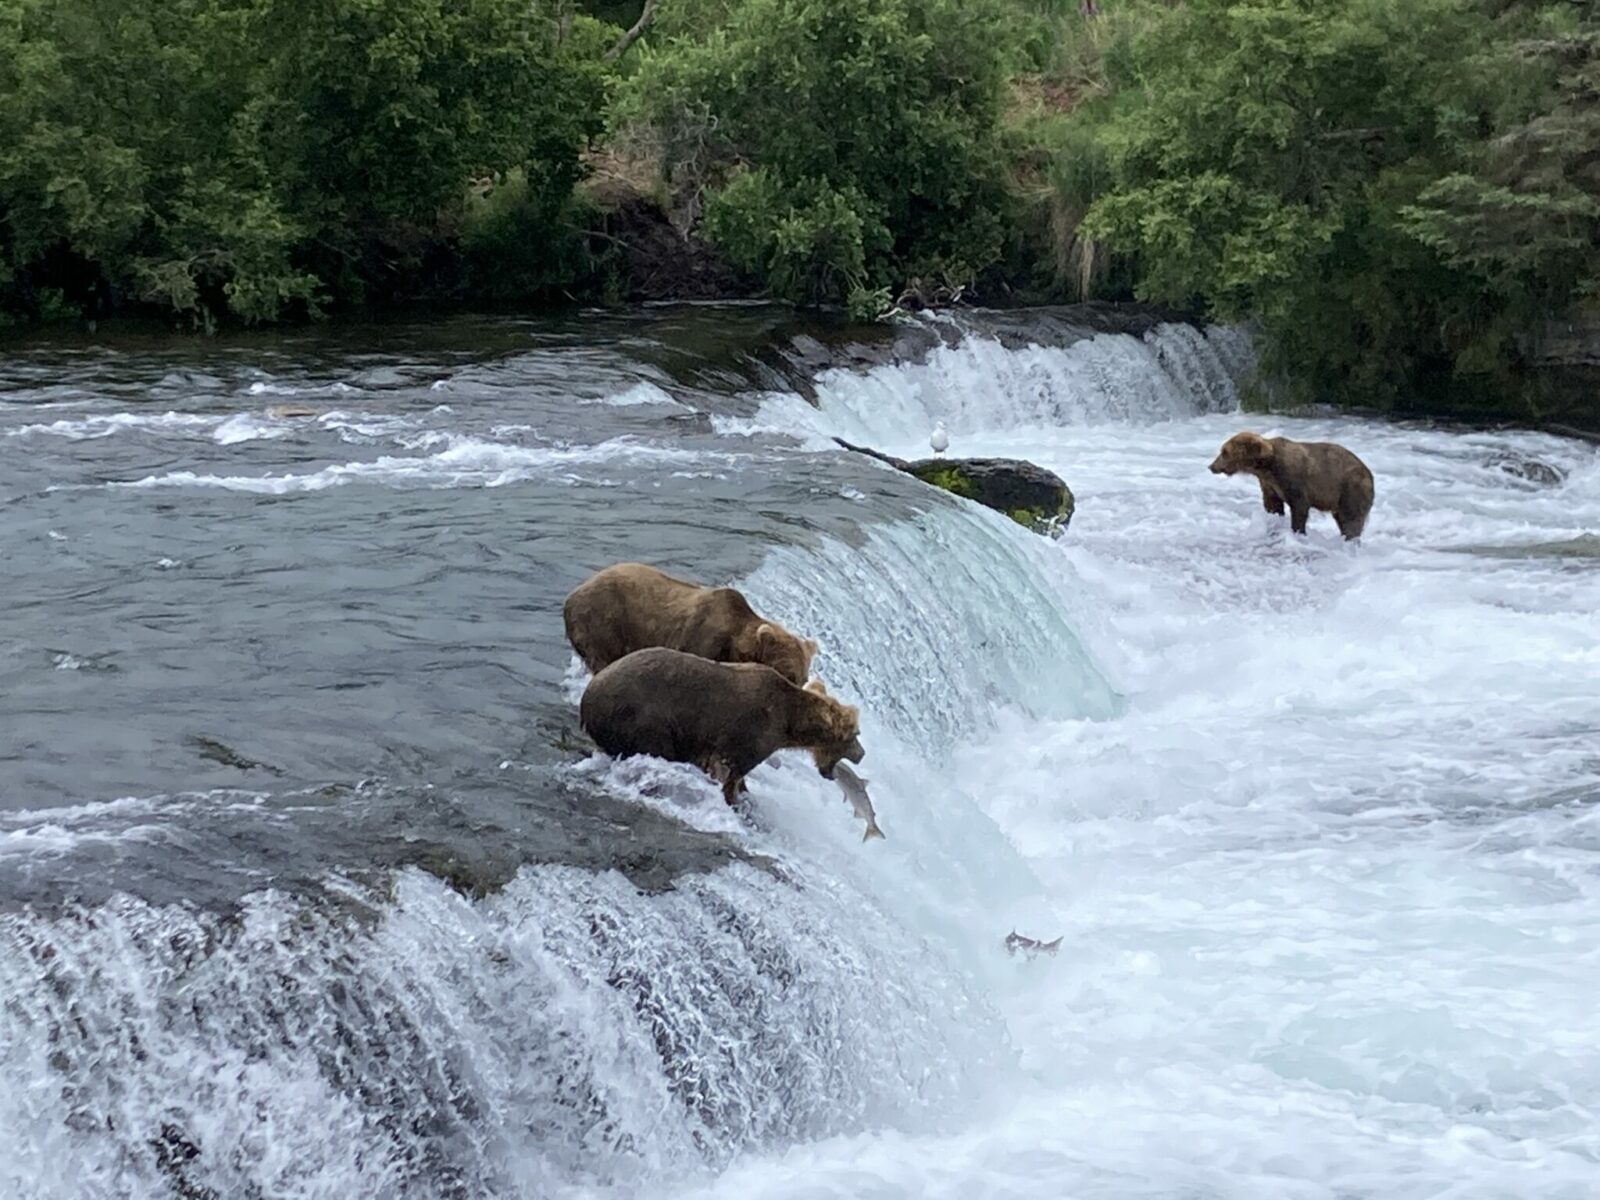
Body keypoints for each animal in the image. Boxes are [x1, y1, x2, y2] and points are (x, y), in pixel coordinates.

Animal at [582, 649, 870, 809]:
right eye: (855, 735)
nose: (862, 753)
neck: (790, 721)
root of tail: (588, 696)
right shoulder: (751, 731)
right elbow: (733, 771)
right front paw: (734, 797)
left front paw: (744, 792)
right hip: (643, 716)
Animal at [1209, 432, 1376, 540]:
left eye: (1224, 452)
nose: (1211, 466)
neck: (1267, 466)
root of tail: (1370, 474)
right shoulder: (1269, 484)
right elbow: (1273, 504)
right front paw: (1274, 520)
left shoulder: (1293, 479)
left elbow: (1299, 506)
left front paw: (1298, 531)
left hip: (1350, 488)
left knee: (1351, 519)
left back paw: (1350, 538)